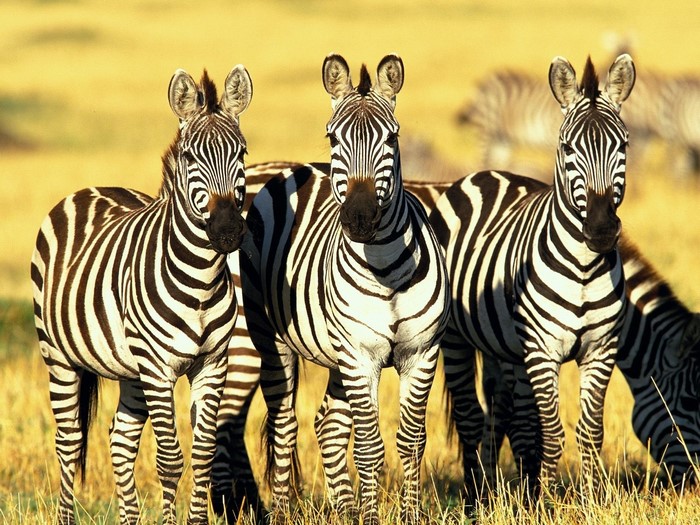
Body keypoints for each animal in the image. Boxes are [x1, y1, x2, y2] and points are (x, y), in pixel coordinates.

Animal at [31, 66, 253, 524]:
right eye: (190, 158)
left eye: (242, 152)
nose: (227, 232)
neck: (201, 280)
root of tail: (89, 189)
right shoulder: (158, 367)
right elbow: (169, 460)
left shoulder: (212, 364)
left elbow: (202, 456)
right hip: (59, 357)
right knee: (68, 441)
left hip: (129, 370)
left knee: (120, 438)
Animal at [239, 54, 450, 525]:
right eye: (333, 137)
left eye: (392, 137)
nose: (359, 218)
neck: (386, 269)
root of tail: (288, 170)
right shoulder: (360, 355)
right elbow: (370, 446)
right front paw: (372, 518)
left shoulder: (421, 352)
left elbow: (412, 440)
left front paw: (407, 515)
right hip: (272, 338)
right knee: (285, 424)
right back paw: (285, 511)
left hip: (337, 353)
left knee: (328, 425)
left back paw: (346, 510)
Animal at [430, 54, 636, 504]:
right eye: (567, 147)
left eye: (623, 145)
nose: (600, 230)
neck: (583, 268)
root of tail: (485, 173)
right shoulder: (542, 351)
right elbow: (552, 433)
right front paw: (548, 503)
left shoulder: (601, 349)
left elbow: (590, 432)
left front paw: (590, 502)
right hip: (454, 339)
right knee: (470, 417)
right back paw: (475, 498)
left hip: (502, 347)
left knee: (503, 413)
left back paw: (496, 492)